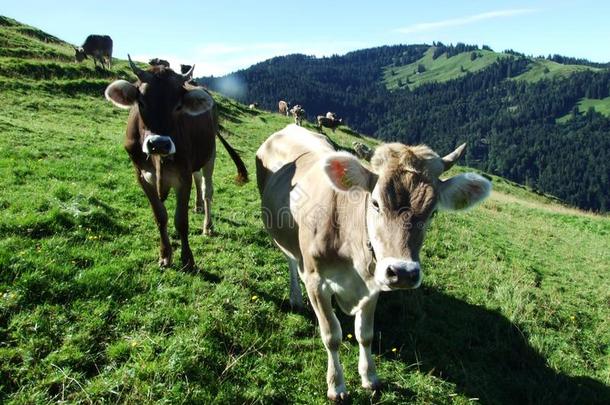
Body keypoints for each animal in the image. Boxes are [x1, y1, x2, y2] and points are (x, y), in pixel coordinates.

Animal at [104, 55, 247, 270]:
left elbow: (181, 220)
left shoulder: (183, 174)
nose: (159, 143)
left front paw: (187, 259)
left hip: (210, 154)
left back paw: (208, 225)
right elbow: (160, 216)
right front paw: (165, 255)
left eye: (178, 105)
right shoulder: (141, 176)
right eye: (141, 102)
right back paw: (197, 206)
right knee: (199, 180)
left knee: (207, 190)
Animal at [255, 124, 490, 400]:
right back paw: (295, 297)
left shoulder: (374, 283)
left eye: (433, 212)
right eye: (376, 203)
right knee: (292, 261)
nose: (403, 273)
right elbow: (332, 335)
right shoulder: (316, 281)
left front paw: (369, 377)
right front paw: (336, 385)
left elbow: (365, 334)